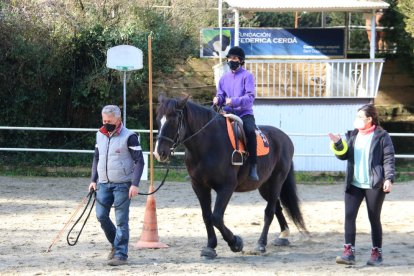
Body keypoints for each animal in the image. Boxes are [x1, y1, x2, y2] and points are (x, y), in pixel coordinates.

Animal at [155, 95, 308, 258]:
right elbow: (206, 216)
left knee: (269, 211)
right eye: (158, 119)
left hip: (276, 181)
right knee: (277, 207)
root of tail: (286, 138)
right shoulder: (199, 186)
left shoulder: (226, 187)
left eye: (173, 120)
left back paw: (261, 243)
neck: (208, 144)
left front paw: (235, 242)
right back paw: (283, 235)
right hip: (264, 186)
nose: (160, 153)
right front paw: (210, 247)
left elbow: (216, 217)